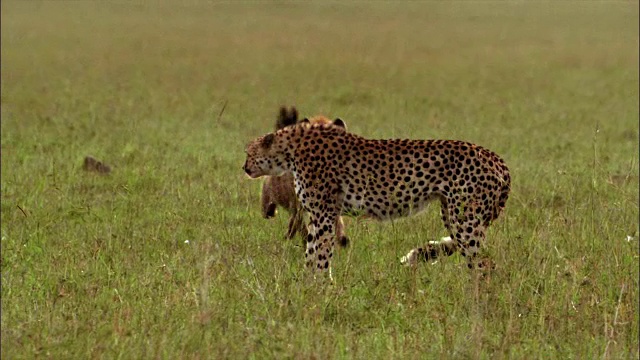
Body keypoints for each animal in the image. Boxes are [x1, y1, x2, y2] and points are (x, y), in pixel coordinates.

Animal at [242, 118, 512, 276]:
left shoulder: (325, 214)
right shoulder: (317, 216)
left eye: (248, 153)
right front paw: (306, 287)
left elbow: (321, 254)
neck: (290, 151)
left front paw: (321, 290)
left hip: (465, 221)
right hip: (453, 215)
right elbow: (310, 253)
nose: (244, 167)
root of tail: (496, 158)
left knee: (486, 265)